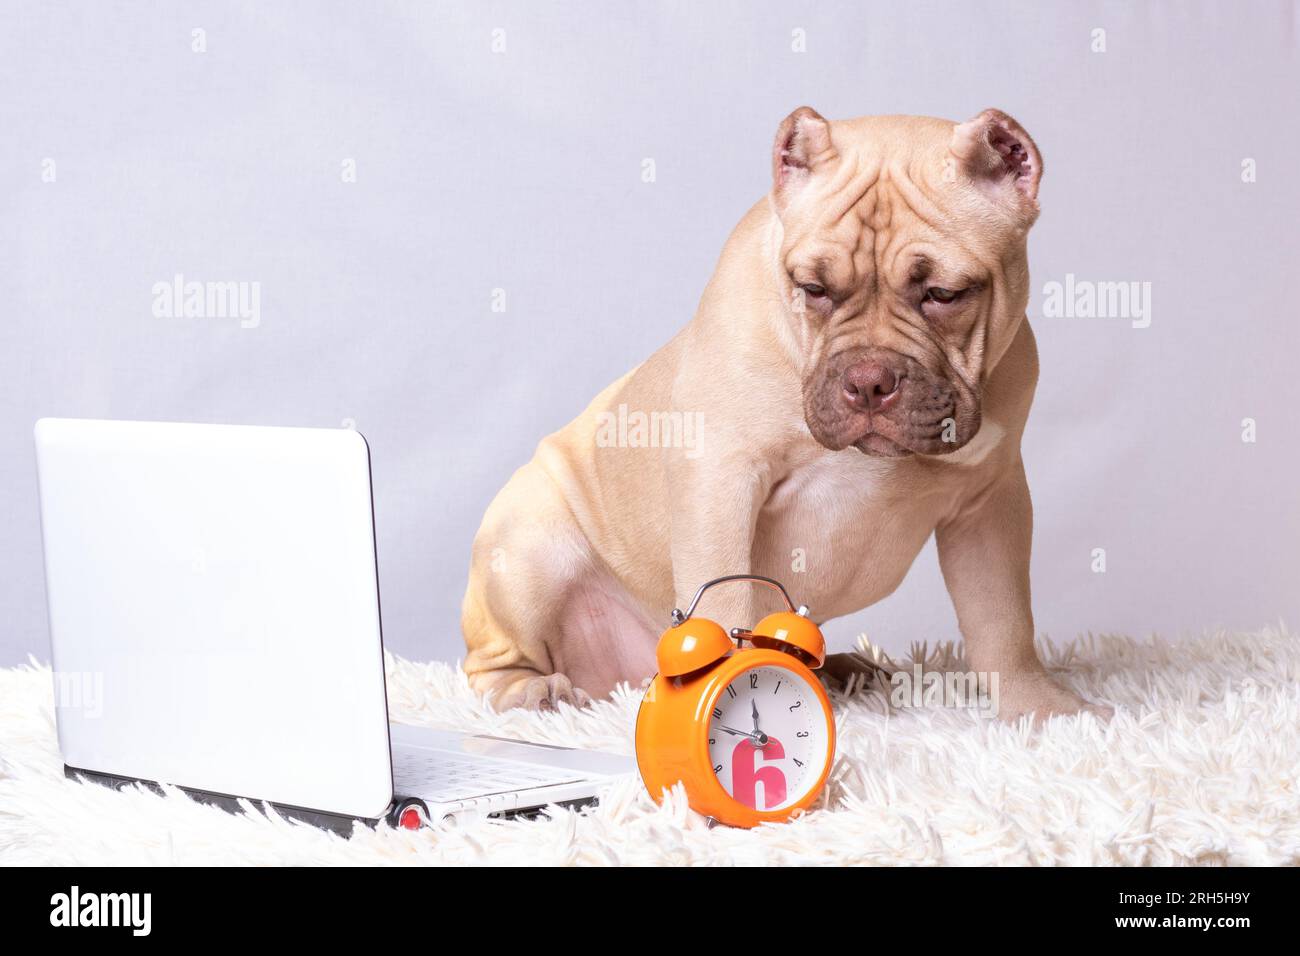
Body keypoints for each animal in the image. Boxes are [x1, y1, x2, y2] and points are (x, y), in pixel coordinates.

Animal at [457, 108, 1107, 723]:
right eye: (813, 288)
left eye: (944, 294)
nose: (868, 380)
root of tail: (626, 672)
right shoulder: (719, 482)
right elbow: (725, 601)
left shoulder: (990, 502)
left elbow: (1004, 619)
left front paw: (1040, 707)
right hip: (530, 547)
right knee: (488, 663)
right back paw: (532, 691)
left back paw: (839, 668)